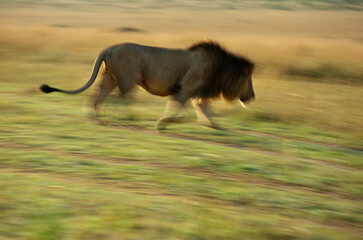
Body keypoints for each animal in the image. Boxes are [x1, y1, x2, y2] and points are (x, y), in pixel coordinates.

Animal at [40, 41, 256, 131]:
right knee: (120, 99)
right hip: (127, 79)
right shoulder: (186, 87)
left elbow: (202, 109)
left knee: (97, 97)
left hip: (109, 78)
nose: (252, 96)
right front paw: (164, 123)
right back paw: (128, 118)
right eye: (249, 80)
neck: (221, 70)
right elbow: (179, 107)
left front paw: (214, 126)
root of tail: (109, 48)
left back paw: (96, 119)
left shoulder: (198, 92)